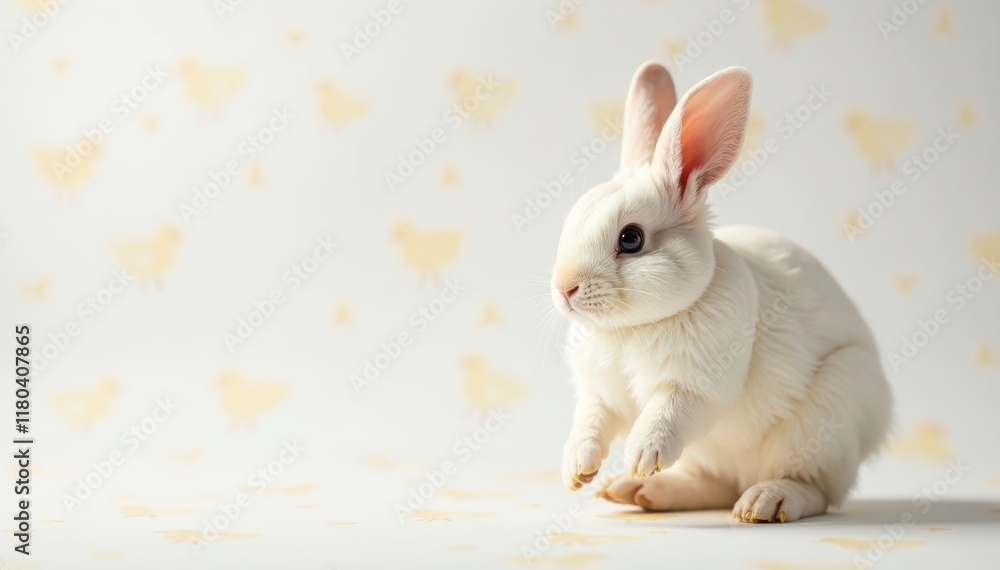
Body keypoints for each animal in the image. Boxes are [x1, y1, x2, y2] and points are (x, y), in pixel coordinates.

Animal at [552, 62, 892, 523]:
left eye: (631, 238)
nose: (563, 288)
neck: (633, 328)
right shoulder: (601, 394)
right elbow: (591, 422)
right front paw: (577, 470)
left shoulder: (697, 386)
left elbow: (667, 414)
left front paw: (642, 455)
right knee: (712, 485)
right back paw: (636, 491)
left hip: (829, 415)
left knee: (815, 489)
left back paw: (764, 502)